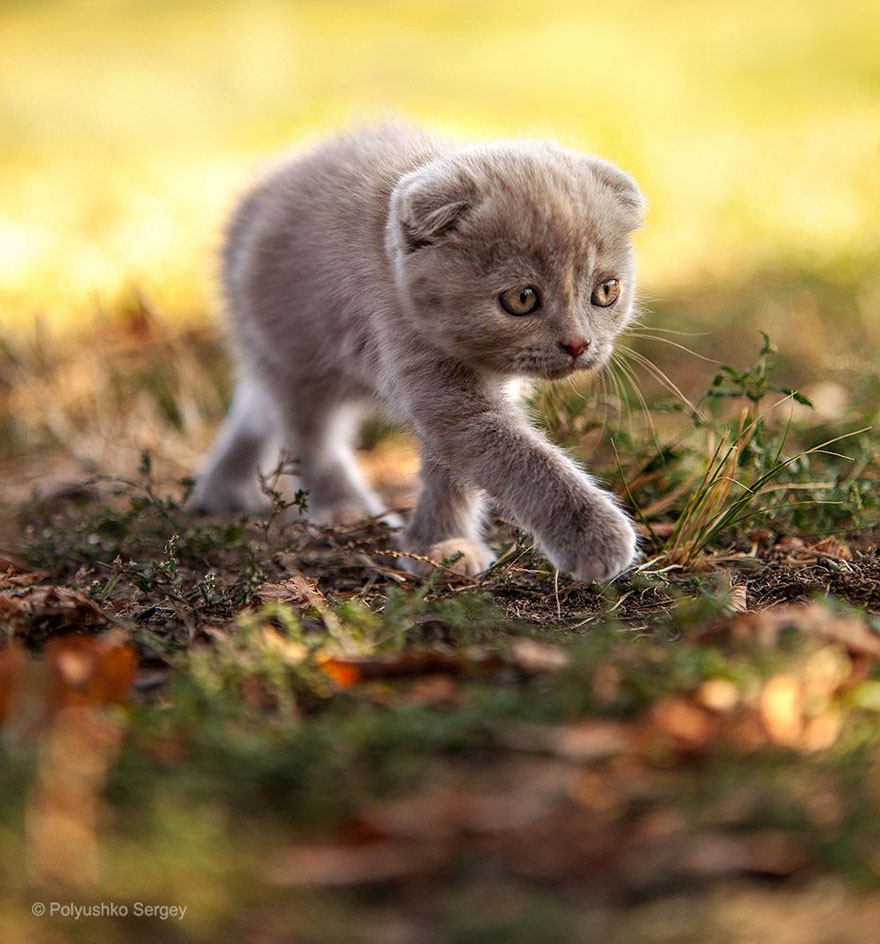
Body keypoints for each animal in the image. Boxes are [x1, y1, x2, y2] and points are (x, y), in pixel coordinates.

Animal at [192, 121, 644, 580]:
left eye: (606, 291)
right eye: (522, 299)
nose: (578, 343)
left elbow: (454, 473)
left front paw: (441, 546)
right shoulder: (431, 375)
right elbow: (517, 457)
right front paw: (594, 536)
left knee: (257, 409)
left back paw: (223, 489)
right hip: (291, 351)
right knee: (306, 433)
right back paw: (345, 510)